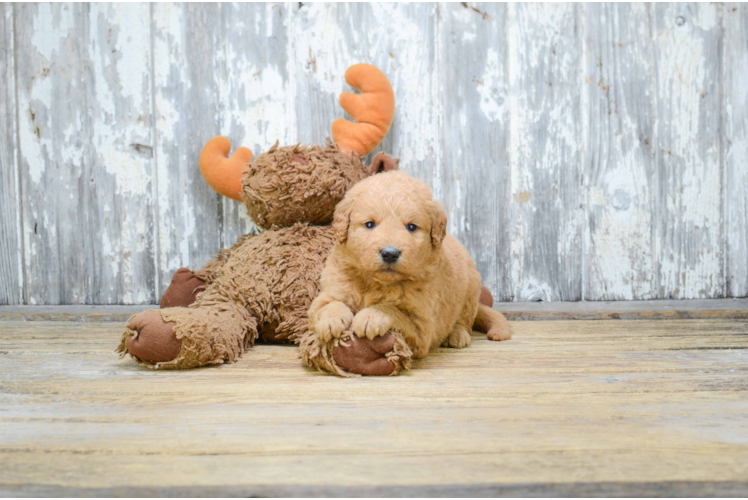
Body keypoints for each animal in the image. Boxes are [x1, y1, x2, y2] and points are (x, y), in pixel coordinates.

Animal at [306, 170, 512, 362]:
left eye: (411, 227)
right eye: (370, 224)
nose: (390, 253)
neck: (377, 283)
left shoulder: (421, 327)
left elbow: (393, 310)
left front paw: (371, 316)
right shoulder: (330, 291)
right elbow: (329, 304)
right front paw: (331, 320)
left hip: (471, 290)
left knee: (464, 320)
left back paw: (457, 335)